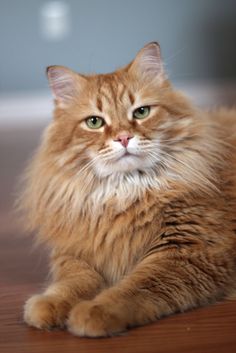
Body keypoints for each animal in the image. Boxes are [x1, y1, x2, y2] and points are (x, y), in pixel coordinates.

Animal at [19, 41, 236, 336]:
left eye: (141, 112)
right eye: (94, 122)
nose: (123, 138)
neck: (123, 192)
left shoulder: (187, 253)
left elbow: (132, 289)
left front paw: (93, 312)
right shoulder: (76, 251)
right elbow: (73, 281)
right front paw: (48, 305)